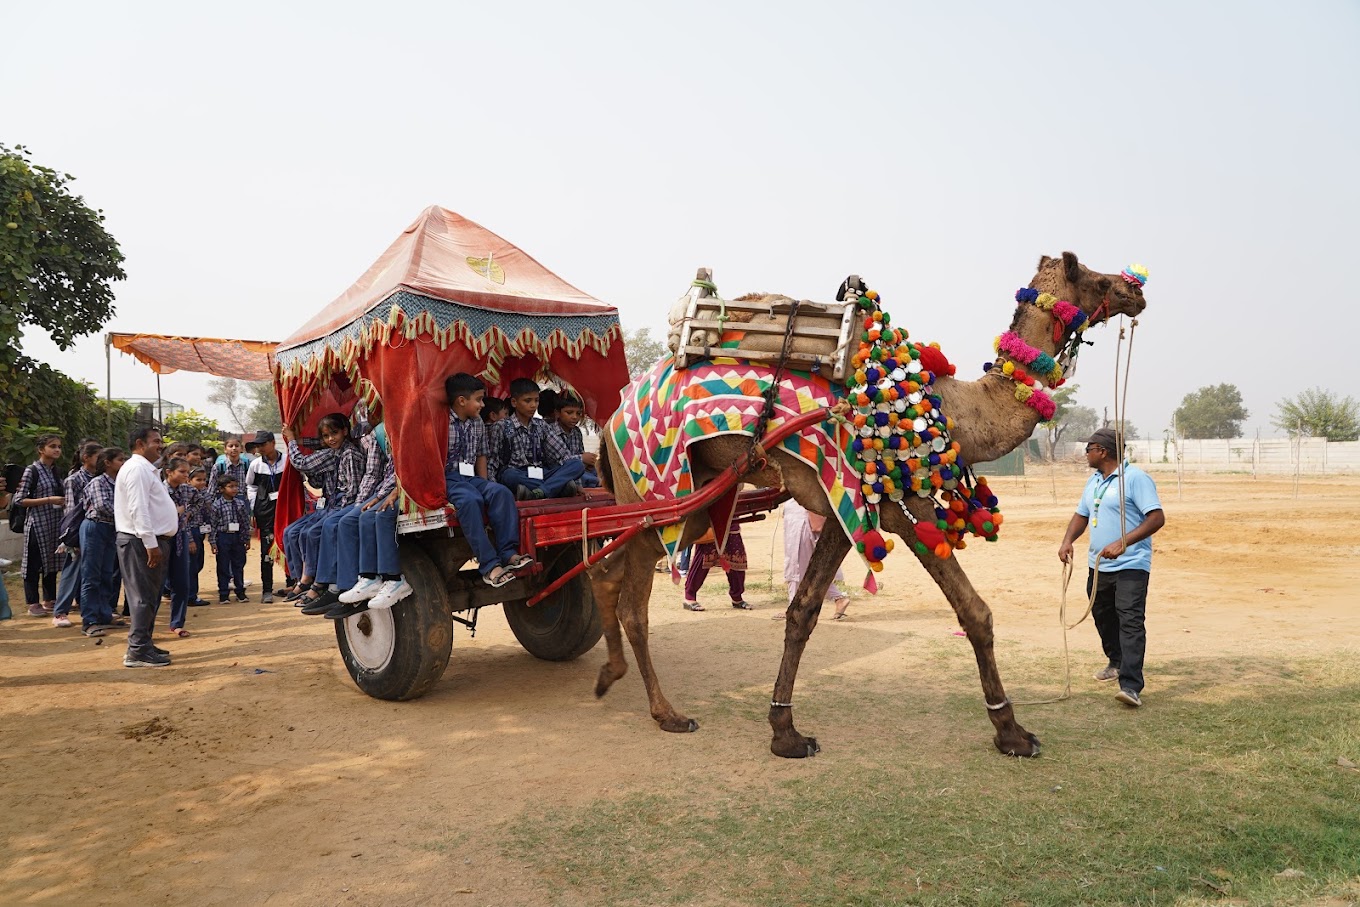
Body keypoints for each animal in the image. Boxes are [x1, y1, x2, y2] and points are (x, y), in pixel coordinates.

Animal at [592, 251, 1147, 756]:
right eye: (1095, 278)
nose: (1135, 289)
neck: (952, 409)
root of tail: (609, 421)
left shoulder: (844, 505)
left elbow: (802, 611)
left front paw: (785, 732)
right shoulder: (902, 504)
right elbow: (975, 612)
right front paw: (1012, 732)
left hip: (695, 495)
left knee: (608, 574)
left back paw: (609, 675)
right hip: (656, 492)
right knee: (632, 601)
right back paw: (666, 712)